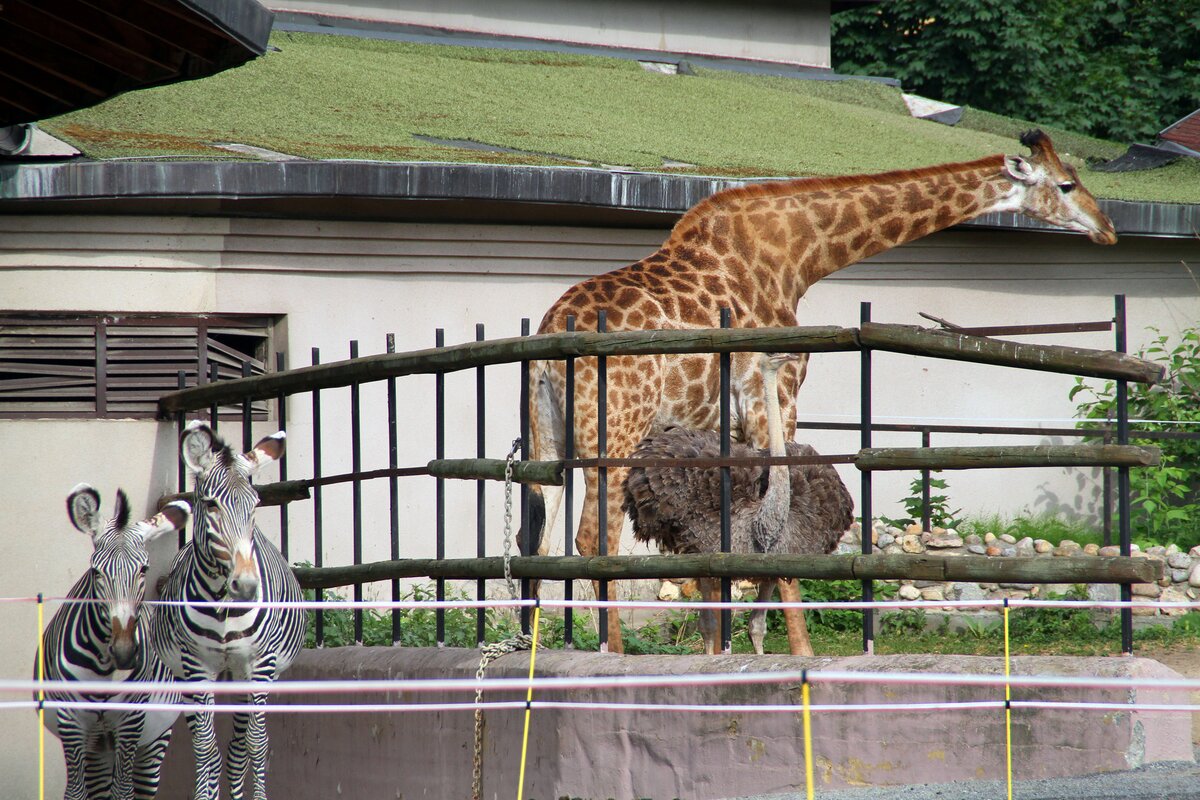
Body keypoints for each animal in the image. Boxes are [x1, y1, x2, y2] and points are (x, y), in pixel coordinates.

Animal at [38, 484, 189, 800]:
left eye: (144, 570)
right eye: (96, 572)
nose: (124, 653)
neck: (103, 667)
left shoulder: (131, 722)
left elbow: (123, 792)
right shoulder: (72, 721)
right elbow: (76, 793)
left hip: (152, 741)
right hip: (97, 744)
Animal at [151, 422, 304, 796]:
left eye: (256, 505)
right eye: (211, 505)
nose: (246, 587)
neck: (223, 602)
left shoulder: (260, 662)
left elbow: (256, 744)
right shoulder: (196, 663)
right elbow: (206, 748)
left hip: (243, 674)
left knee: (237, 750)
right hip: (187, 676)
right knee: (208, 748)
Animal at [530, 131, 1118, 652]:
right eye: (1067, 184)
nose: (1107, 227)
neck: (798, 257)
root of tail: (552, 332)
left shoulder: (720, 425)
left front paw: (727, 647)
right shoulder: (775, 397)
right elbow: (778, 517)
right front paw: (795, 652)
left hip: (550, 431)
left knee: (537, 532)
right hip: (615, 430)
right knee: (593, 538)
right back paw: (610, 653)